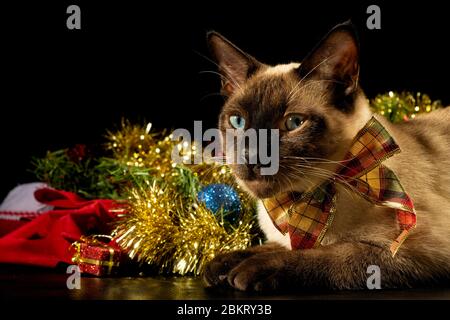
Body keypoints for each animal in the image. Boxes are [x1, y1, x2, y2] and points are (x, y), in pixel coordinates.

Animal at [202, 21, 450, 292]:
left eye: (294, 123)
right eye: (237, 121)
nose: (251, 157)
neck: (299, 201)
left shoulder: (413, 250)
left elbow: (328, 254)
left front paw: (253, 269)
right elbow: (265, 247)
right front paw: (222, 264)